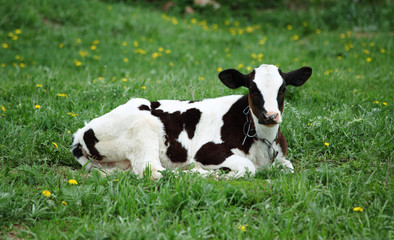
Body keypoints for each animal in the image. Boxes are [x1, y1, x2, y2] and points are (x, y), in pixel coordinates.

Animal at [70, 63, 310, 178]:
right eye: (252, 88)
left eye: (283, 89)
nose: (270, 115)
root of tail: (81, 132)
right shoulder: (207, 151)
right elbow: (247, 168)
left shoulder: (281, 158)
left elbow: (288, 167)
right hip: (144, 125)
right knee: (153, 171)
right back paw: (196, 173)